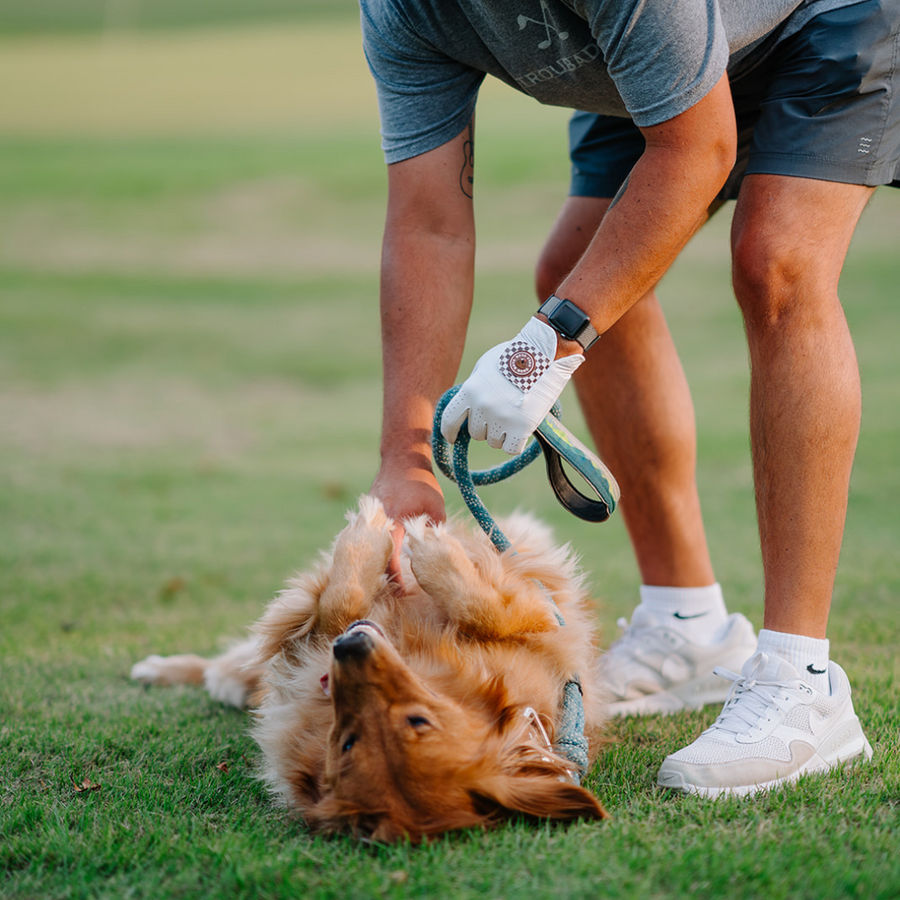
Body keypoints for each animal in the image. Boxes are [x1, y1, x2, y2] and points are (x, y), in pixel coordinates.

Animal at [132, 488, 612, 840]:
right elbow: (484, 608)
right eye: (348, 741)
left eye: (417, 721)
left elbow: (479, 607)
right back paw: (161, 669)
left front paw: (403, 543)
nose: (350, 649)